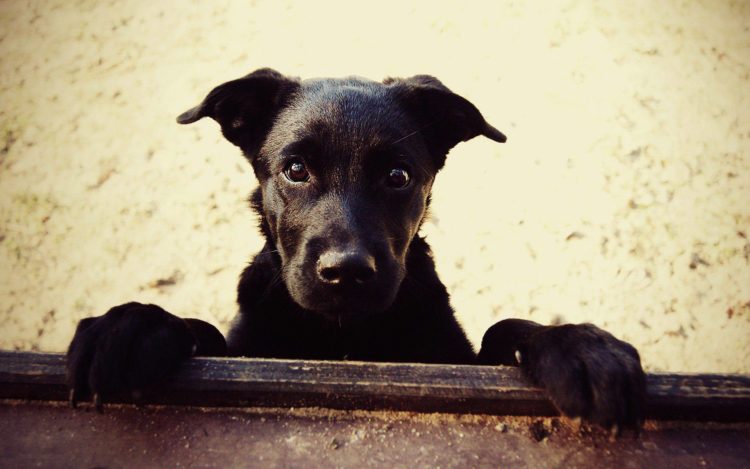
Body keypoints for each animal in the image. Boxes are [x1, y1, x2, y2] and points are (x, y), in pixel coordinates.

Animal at [67, 68, 648, 432]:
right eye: (295, 169)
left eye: (398, 176)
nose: (345, 272)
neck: (344, 335)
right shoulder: (245, 345)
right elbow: (203, 331)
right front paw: (134, 323)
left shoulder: (455, 358)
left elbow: (504, 328)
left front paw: (579, 348)